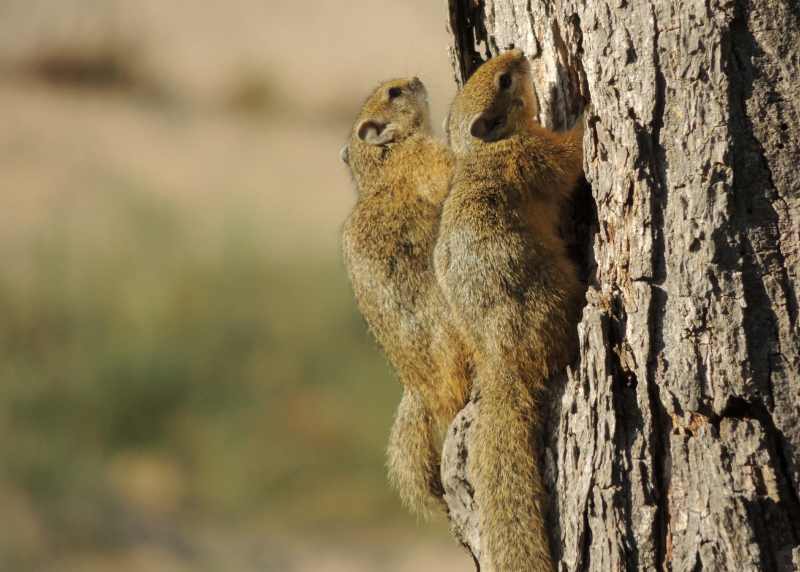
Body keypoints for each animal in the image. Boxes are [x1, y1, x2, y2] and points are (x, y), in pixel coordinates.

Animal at [340, 77, 474, 518]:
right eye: (394, 93)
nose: (416, 79)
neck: (383, 159)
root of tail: (417, 390)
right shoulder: (422, 158)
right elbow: (449, 170)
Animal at [434, 50, 585, 571]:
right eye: (503, 81)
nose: (520, 54)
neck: (483, 151)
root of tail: (501, 363)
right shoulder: (532, 158)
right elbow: (568, 160)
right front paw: (586, 117)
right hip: (550, 293)